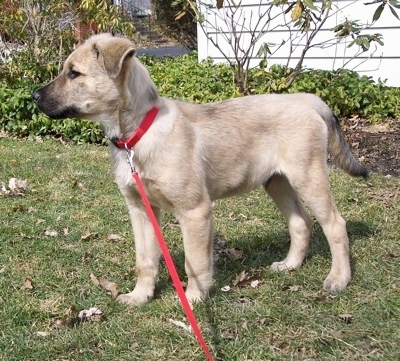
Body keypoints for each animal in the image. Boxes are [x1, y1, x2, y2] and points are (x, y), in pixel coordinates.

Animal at [32, 33, 368, 304]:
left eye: (74, 73)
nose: (34, 96)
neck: (137, 134)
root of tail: (309, 100)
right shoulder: (141, 210)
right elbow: (145, 259)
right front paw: (140, 296)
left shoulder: (194, 210)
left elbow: (194, 261)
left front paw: (193, 298)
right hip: (277, 181)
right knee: (300, 222)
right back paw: (290, 265)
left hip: (308, 176)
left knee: (335, 225)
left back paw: (339, 278)